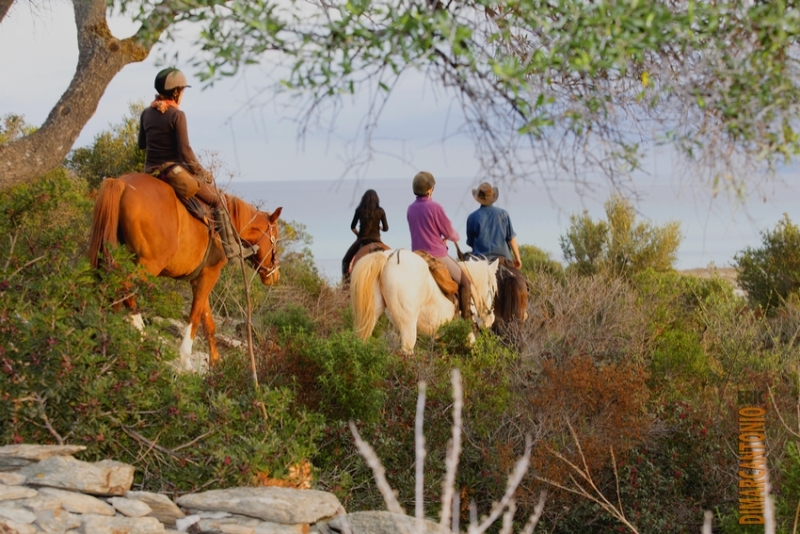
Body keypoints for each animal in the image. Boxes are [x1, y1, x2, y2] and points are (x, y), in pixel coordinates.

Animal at [86, 174, 282, 370]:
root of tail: (122, 182)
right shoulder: (210, 275)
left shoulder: (199, 279)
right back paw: (141, 334)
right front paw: (186, 359)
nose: (274, 275)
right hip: (148, 265)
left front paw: (215, 361)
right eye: (275, 239)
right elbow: (194, 316)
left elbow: (207, 321)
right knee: (123, 287)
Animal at [352, 249, 496, 354]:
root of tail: (389, 257)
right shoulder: (467, 332)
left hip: (373, 316)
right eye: (493, 290)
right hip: (408, 327)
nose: (491, 319)